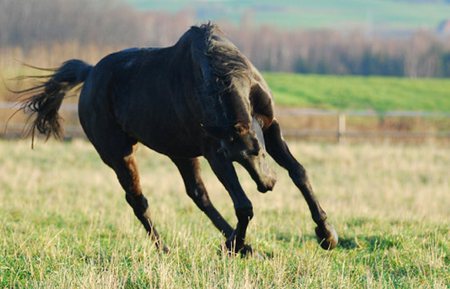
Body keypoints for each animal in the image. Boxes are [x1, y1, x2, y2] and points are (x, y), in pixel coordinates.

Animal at [14, 24, 338, 254]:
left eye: (260, 151)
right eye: (238, 157)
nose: (267, 184)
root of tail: (90, 72)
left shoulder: (269, 126)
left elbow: (299, 172)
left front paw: (327, 235)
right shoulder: (215, 153)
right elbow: (243, 205)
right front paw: (238, 244)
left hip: (181, 153)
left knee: (198, 195)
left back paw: (236, 244)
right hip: (119, 155)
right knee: (138, 201)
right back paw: (172, 248)